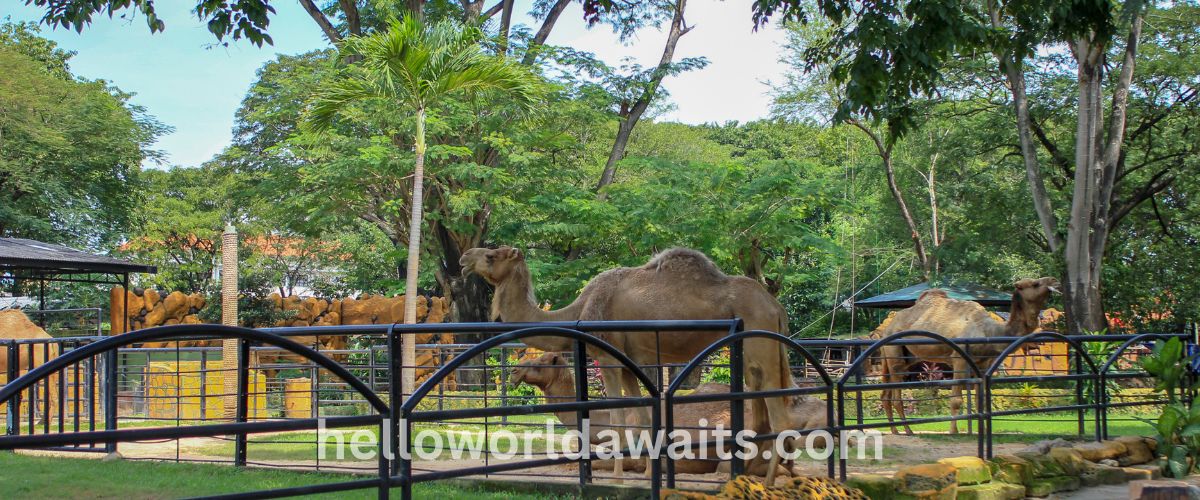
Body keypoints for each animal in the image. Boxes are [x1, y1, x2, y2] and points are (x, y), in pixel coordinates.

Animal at [875, 277, 1060, 435]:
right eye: (1035, 283)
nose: (1055, 280)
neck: (990, 331)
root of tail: (886, 330)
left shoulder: (982, 364)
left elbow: (980, 399)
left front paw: (982, 431)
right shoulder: (959, 359)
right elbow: (956, 400)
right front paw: (953, 432)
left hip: (903, 357)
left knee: (885, 395)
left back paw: (894, 430)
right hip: (895, 354)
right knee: (897, 395)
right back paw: (908, 431)